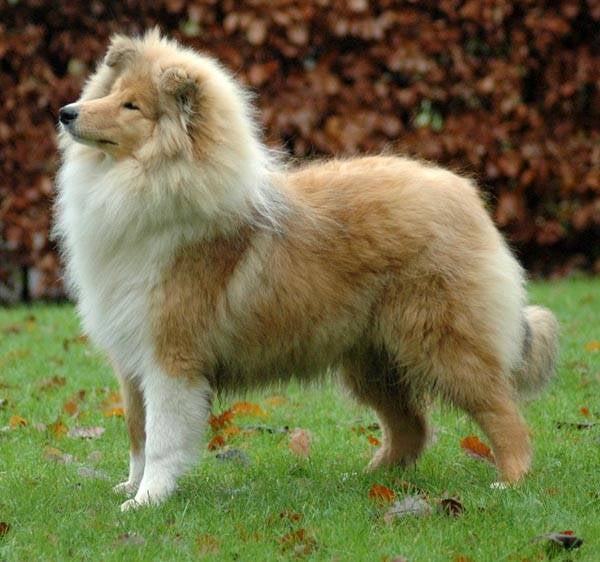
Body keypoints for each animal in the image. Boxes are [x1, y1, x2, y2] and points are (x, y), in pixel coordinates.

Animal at [55, 30, 559, 511]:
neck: (148, 181)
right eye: (110, 92)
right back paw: (367, 481)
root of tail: (465, 194)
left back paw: (510, 481)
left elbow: (160, 437)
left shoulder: (171, 356)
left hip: (444, 344)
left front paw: (146, 502)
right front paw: (130, 487)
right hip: (372, 359)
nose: (66, 113)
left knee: (504, 414)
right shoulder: (131, 358)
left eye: (132, 106)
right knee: (411, 427)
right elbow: (137, 433)